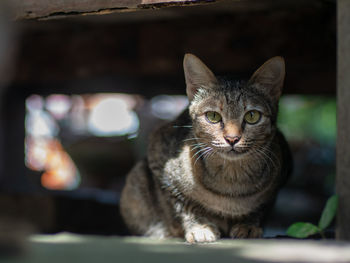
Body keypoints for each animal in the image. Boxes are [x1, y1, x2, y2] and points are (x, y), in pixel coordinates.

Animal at [120, 53, 292, 243]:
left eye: (252, 116)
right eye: (213, 116)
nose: (232, 138)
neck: (231, 180)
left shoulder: (280, 175)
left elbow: (261, 207)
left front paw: (249, 224)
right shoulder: (159, 160)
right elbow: (183, 204)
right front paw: (199, 226)